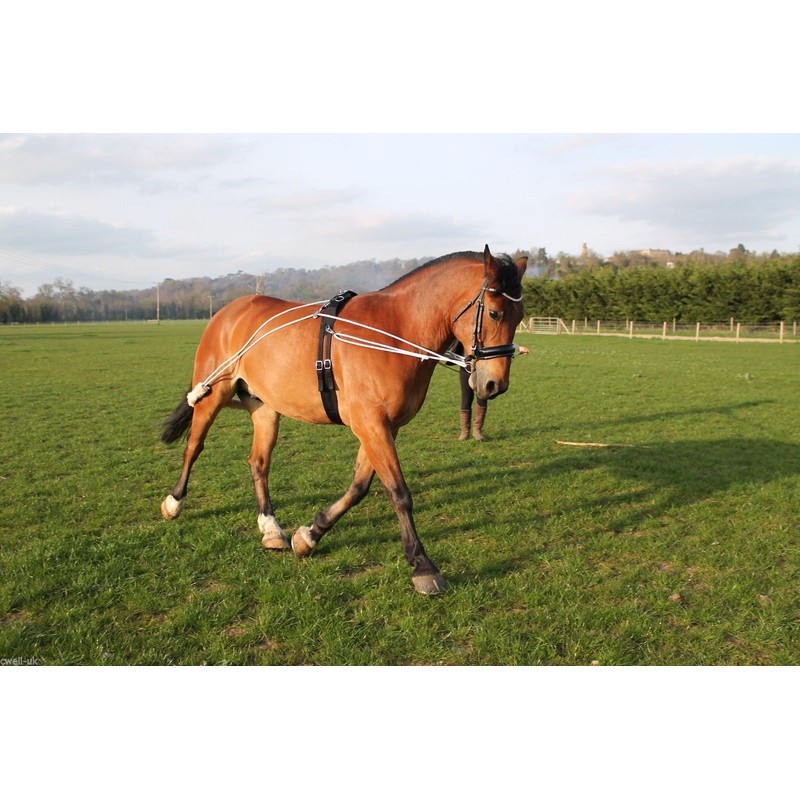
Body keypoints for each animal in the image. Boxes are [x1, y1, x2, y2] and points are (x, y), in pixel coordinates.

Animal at [160, 245, 527, 594]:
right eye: (494, 312)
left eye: (520, 316)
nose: (494, 384)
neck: (394, 331)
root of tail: (228, 311)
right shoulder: (372, 423)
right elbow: (399, 492)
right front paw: (422, 566)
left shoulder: (383, 426)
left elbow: (359, 486)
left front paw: (310, 534)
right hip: (213, 395)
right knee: (194, 447)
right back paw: (174, 502)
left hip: (264, 408)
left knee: (258, 463)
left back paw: (270, 527)